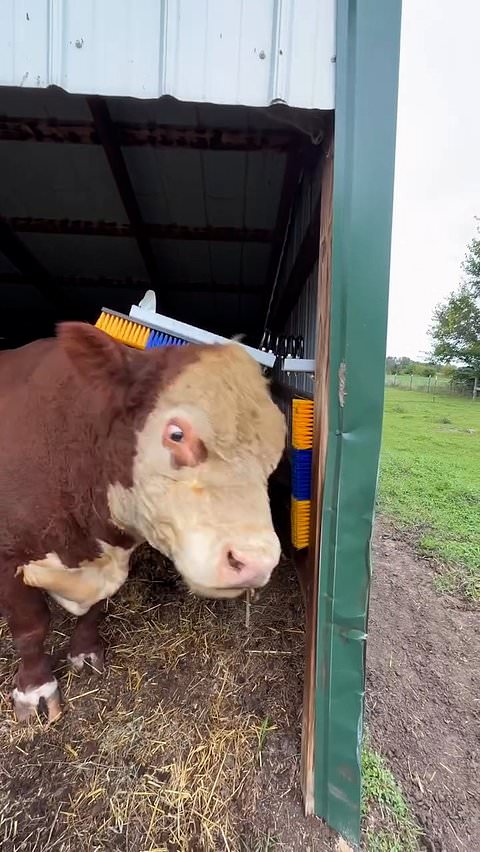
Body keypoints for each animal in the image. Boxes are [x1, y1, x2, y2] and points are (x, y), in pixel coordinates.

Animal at [0, 323, 286, 722]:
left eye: (279, 446)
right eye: (176, 433)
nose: (256, 561)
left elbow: (98, 608)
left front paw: (85, 652)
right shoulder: (7, 555)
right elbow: (30, 626)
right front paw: (35, 690)